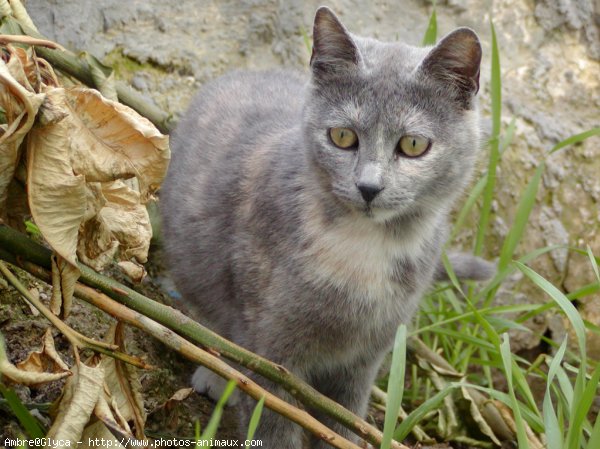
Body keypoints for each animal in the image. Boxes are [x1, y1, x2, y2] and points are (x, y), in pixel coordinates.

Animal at [161, 7, 492, 448]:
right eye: (342, 136)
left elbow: (343, 423)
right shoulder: (269, 351)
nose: (369, 187)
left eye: (414, 145)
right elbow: (272, 427)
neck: (365, 249)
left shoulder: (363, 360)